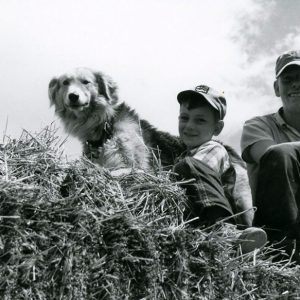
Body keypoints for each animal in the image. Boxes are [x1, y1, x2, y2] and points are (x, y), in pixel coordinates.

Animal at [48, 67, 253, 224]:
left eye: (86, 82)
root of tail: (230, 150)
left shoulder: (138, 169)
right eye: (65, 83)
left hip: (243, 198)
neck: (106, 125)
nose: (73, 96)